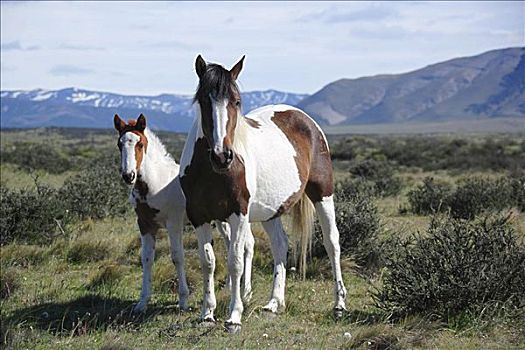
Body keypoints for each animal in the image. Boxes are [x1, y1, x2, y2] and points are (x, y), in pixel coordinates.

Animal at [113, 113, 255, 314]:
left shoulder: (174, 223)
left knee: (247, 245)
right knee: (230, 245)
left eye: (139, 144)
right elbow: (146, 258)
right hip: (222, 221)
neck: (156, 183)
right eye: (120, 144)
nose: (128, 176)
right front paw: (142, 302)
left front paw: (183, 300)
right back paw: (229, 286)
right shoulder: (145, 224)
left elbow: (177, 257)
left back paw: (246, 292)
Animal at [180, 56, 348, 332]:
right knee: (280, 244)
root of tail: (305, 119)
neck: (212, 171)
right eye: (204, 100)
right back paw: (274, 303)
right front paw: (207, 313)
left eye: (236, 101)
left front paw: (234, 317)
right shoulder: (199, 216)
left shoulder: (238, 214)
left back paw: (339, 304)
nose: (222, 156)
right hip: (271, 211)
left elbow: (235, 262)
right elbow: (208, 262)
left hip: (323, 194)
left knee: (332, 243)